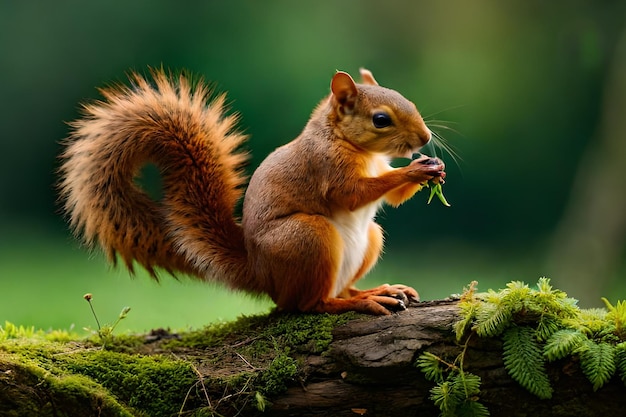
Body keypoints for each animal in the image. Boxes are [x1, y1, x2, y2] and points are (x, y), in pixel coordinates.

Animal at [58, 69, 444, 316]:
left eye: (408, 100)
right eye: (381, 119)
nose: (425, 138)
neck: (356, 148)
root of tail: (261, 274)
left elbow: (389, 198)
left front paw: (433, 169)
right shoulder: (325, 168)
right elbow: (352, 194)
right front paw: (416, 169)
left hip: (370, 238)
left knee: (338, 286)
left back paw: (377, 290)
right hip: (309, 237)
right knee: (310, 304)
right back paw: (358, 302)